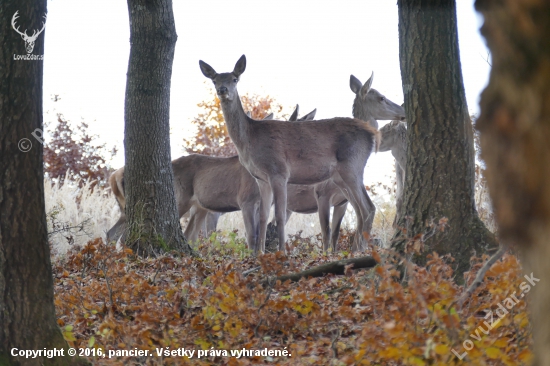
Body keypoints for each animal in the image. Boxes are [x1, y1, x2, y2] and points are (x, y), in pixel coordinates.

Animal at [199, 55, 388, 254]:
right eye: (214, 80)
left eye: (235, 79)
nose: (222, 90)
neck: (251, 138)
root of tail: (372, 134)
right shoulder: (262, 179)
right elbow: (264, 217)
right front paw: (259, 253)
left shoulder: (279, 171)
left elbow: (280, 215)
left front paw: (282, 252)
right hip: (342, 176)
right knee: (360, 209)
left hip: (352, 166)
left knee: (368, 207)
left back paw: (360, 251)